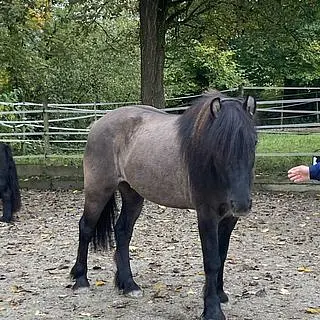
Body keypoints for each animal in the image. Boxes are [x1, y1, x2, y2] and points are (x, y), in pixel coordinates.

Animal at [71, 91, 256, 318]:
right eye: (218, 146)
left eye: (254, 142)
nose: (241, 203)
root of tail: (98, 123)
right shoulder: (207, 216)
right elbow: (212, 260)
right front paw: (212, 309)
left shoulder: (229, 218)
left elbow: (222, 255)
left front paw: (219, 295)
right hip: (98, 190)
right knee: (86, 228)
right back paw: (81, 280)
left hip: (133, 195)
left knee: (122, 231)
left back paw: (129, 285)